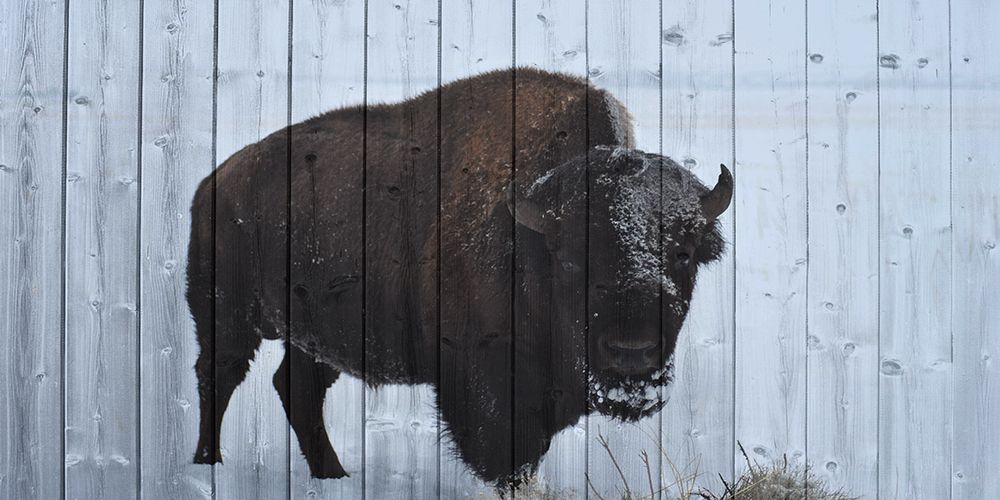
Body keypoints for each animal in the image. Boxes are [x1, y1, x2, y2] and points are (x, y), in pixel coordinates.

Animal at [186, 68, 732, 486]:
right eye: (572, 260)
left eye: (683, 254)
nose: (632, 352)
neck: (530, 238)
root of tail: (217, 180)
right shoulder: (485, 389)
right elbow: (504, 458)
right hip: (226, 314)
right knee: (219, 375)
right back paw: (208, 464)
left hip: (314, 333)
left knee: (296, 387)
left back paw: (333, 474)